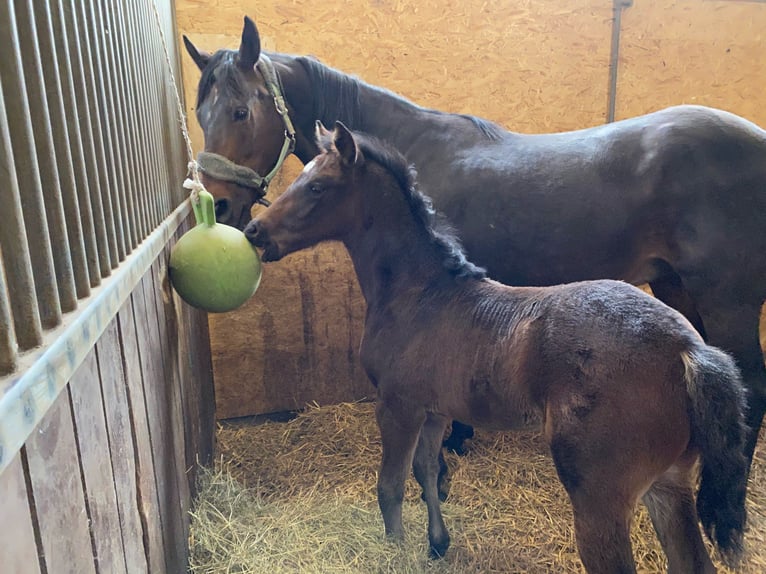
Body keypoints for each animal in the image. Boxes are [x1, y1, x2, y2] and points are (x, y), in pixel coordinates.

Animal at [246, 122, 752, 574]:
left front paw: (395, 553)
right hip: (669, 483)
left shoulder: (398, 405)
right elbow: (427, 473)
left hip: (601, 495)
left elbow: (390, 487)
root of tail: (686, 348)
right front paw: (437, 544)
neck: (420, 292)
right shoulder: (435, 409)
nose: (254, 231)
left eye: (316, 187)